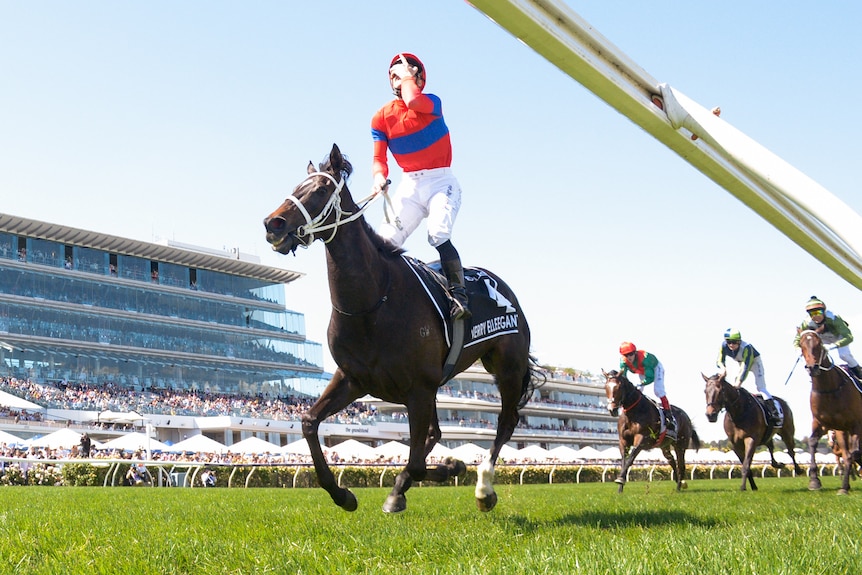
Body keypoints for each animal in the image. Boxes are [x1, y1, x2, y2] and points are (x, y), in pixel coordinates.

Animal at [260, 146, 540, 516]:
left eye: (320, 189)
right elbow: (308, 422)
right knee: (436, 433)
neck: (373, 303)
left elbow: (418, 462)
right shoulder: (354, 379)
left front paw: (449, 468)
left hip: (506, 366)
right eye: (297, 186)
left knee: (505, 423)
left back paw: (483, 487)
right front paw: (343, 494)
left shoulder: (418, 388)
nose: (273, 223)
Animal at [796, 330, 862, 498]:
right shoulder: (824, 424)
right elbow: (812, 443)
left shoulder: (855, 425)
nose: (812, 367)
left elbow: (852, 454)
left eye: (819, 344)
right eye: (801, 345)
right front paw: (814, 481)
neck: (829, 389)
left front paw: (844, 487)